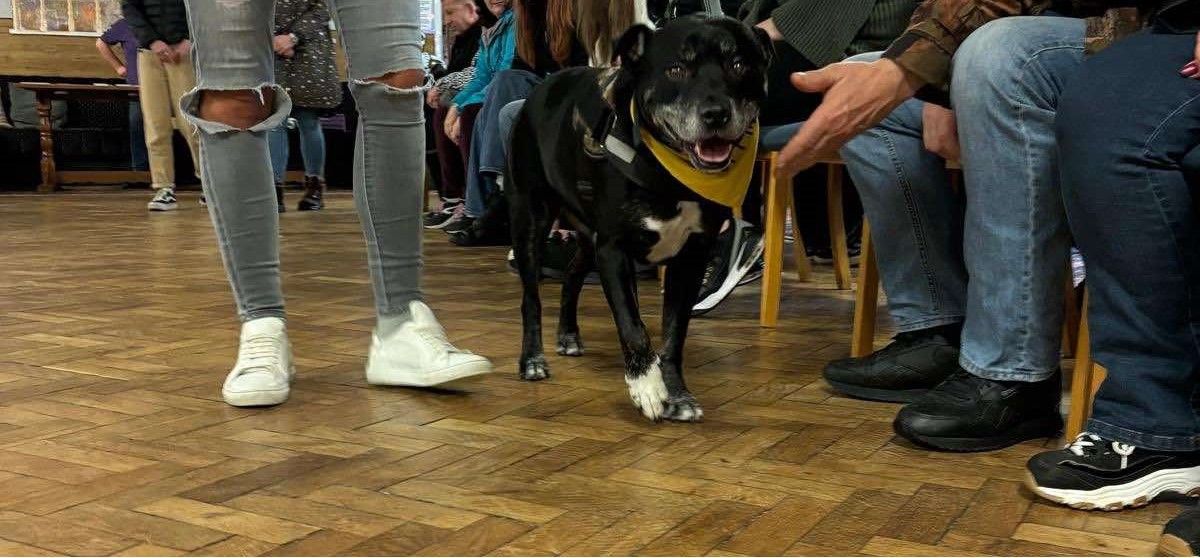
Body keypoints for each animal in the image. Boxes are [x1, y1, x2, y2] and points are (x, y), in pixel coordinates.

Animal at [504, 15, 768, 420]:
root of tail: (542, 86)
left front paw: (677, 393)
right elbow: (633, 324)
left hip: (588, 237)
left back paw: (568, 334)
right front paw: (646, 385)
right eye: (676, 69)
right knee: (531, 299)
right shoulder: (614, 251)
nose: (715, 114)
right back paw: (532, 359)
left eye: (739, 65)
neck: (670, 177)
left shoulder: (690, 258)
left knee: (572, 276)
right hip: (532, 221)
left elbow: (674, 334)